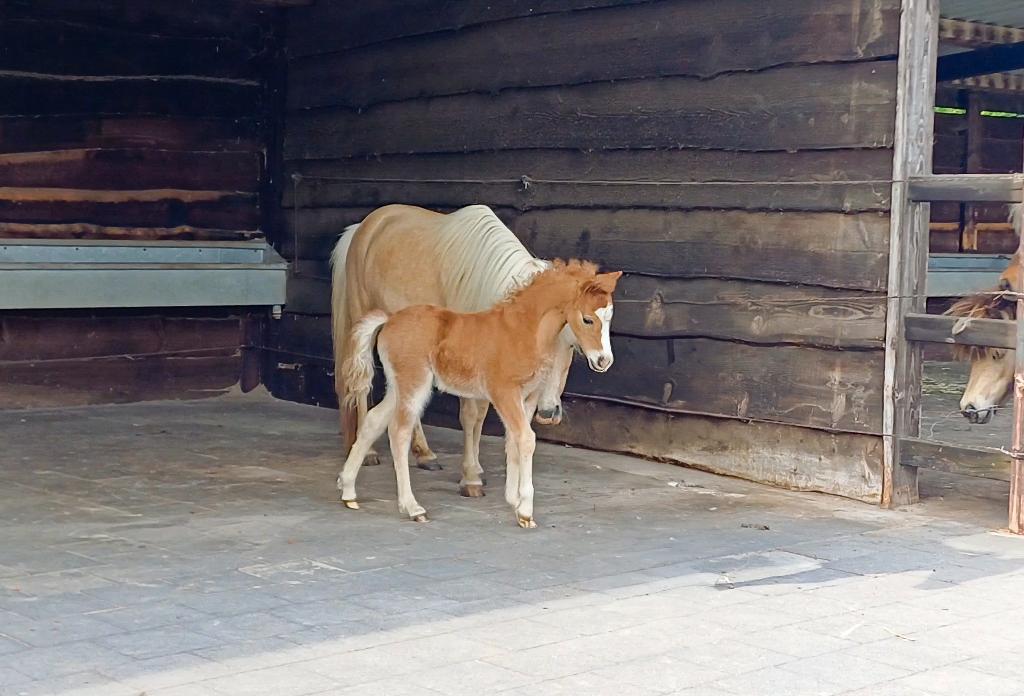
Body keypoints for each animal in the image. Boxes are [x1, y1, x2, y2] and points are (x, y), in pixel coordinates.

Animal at [330, 204, 576, 497]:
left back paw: (424, 454)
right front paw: (470, 479)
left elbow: (480, 415)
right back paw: (368, 453)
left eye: (572, 344)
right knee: (361, 388)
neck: (482, 279)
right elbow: (470, 414)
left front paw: (476, 470)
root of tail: (362, 227)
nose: (549, 413)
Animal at [337, 260, 621, 528]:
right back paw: (413, 508)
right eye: (587, 319)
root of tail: (389, 319)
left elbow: (513, 441)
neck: (523, 331)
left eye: (609, 317)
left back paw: (348, 491)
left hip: (398, 386)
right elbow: (526, 439)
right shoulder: (504, 393)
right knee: (399, 431)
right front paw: (526, 511)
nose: (604, 361)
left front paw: (513, 501)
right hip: (414, 382)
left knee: (373, 420)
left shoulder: (526, 398)